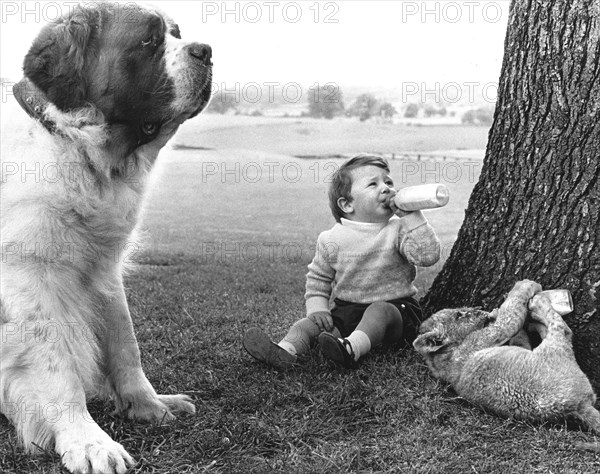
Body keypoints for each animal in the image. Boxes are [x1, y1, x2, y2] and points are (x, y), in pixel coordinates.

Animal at [1, 1, 212, 472]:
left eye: (178, 32)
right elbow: (57, 365)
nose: (206, 51)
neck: (76, 147)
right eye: (149, 40)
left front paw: (148, 405)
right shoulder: (28, 278)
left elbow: (124, 344)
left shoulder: (104, 270)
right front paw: (87, 442)